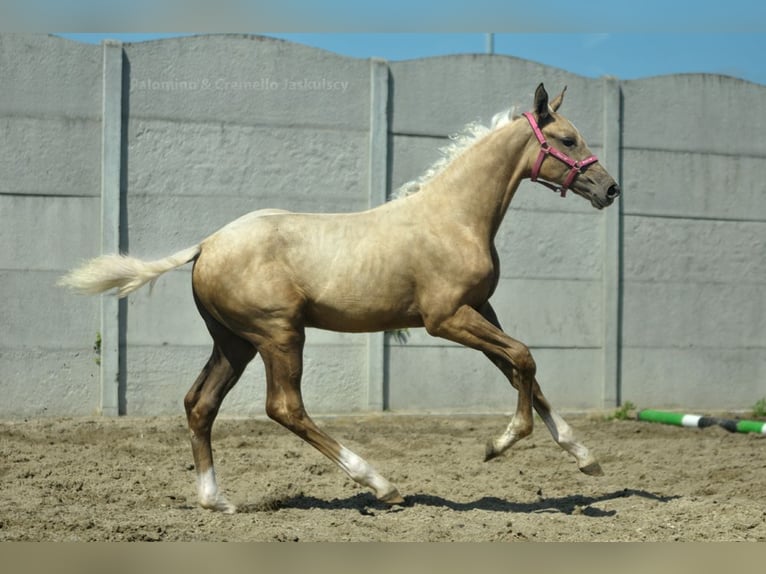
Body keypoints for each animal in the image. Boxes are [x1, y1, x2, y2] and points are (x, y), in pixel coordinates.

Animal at [61, 83, 624, 516]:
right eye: (567, 138)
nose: (610, 189)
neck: (454, 217)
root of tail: (205, 245)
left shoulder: (480, 310)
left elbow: (521, 371)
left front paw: (585, 456)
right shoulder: (445, 319)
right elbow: (524, 358)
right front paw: (498, 444)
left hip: (234, 344)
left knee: (200, 405)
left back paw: (216, 500)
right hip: (280, 335)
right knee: (284, 407)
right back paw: (380, 484)